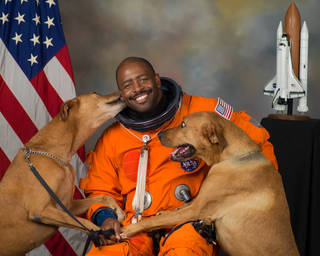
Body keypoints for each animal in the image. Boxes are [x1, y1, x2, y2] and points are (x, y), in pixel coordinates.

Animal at [0, 92, 127, 256]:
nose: (121, 93)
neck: (54, 154)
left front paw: (118, 211)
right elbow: (86, 223)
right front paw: (102, 233)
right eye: (95, 94)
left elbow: (105, 196)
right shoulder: (40, 210)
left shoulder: (67, 206)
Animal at [122, 111, 300, 256]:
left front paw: (129, 229)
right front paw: (163, 213)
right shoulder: (198, 201)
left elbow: (152, 221)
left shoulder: (196, 210)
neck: (233, 157)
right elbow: (179, 207)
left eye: (184, 124)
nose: (158, 134)